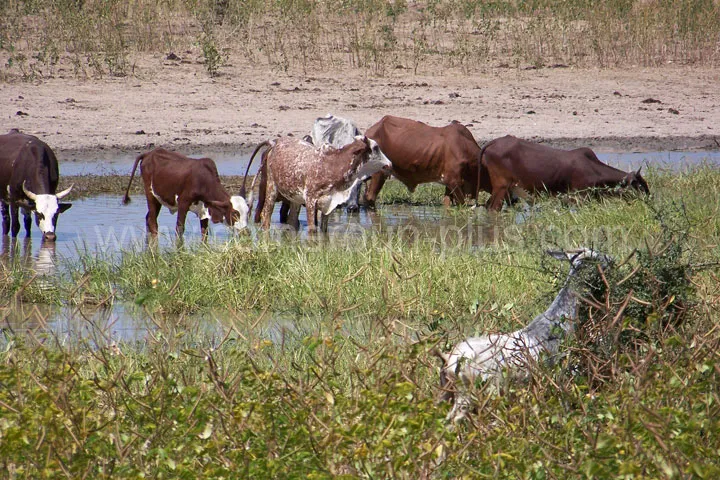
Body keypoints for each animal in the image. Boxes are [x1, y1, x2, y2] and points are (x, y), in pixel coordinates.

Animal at [250, 136, 390, 233]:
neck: (332, 165)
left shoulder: (329, 203)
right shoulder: (310, 200)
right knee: (265, 216)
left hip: (295, 198)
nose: (389, 164)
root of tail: (275, 142)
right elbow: (312, 229)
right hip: (271, 188)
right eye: (376, 147)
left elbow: (324, 230)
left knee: (292, 221)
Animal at [480, 135, 648, 210]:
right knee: (493, 208)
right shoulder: (580, 196)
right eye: (639, 186)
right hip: (501, 187)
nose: (649, 201)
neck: (594, 169)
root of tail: (493, 142)